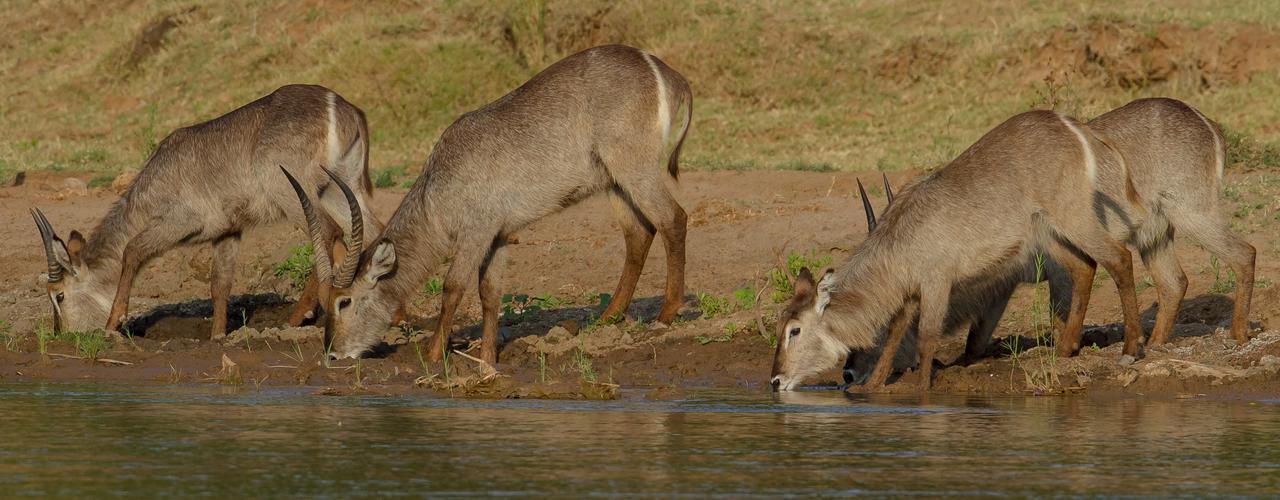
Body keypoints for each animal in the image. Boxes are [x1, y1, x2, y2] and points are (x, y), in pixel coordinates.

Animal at [28, 84, 378, 340]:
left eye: (58, 295)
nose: (59, 334)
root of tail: (339, 105)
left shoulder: (178, 222)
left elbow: (132, 250)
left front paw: (113, 322)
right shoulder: (228, 230)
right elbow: (219, 283)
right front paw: (217, 336)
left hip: (295, 191)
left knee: (328, 231)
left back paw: (301, 314)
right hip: (342, 187)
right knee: (370, 231)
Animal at [293, 44, 691, 363]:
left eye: (344, 301)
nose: (332, 353)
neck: (436, 195)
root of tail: (665, 71)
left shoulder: (476, 232)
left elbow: (453, 287)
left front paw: (434, 354)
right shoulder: (499, 236)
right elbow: (490, 295)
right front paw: (486, 358)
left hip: (633, 166)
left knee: (673, 218)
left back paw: (666, 314)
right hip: (613, 180)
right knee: (639, 233)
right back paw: (609, 317)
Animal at [762, 109, 1146, 391]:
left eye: (794, 330)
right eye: (779, 324)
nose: (775, 380)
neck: (900, 237)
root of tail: (1072, 124)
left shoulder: (936, 281)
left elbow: (926, 336)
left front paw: (921, 388)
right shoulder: (911, 293)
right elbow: (897, 333)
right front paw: (873, 387)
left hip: (1073, 218)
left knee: (1119, 258)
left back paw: (1130, 350)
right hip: (1049, 234)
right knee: (1084, 268)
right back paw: (1065, 351)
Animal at [844, 99, 1254, 388]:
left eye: (876, 328)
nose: (847, 375)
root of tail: (1206, 122)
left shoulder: (1052, 268)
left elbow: (1062, 309)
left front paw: (1066, 350)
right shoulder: (1004, 283)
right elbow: (978, 335)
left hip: (1191, 213)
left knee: (1243, 253)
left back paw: (1236, 335)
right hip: (1154, 236)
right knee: (1174, 282)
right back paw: (1153, 345)